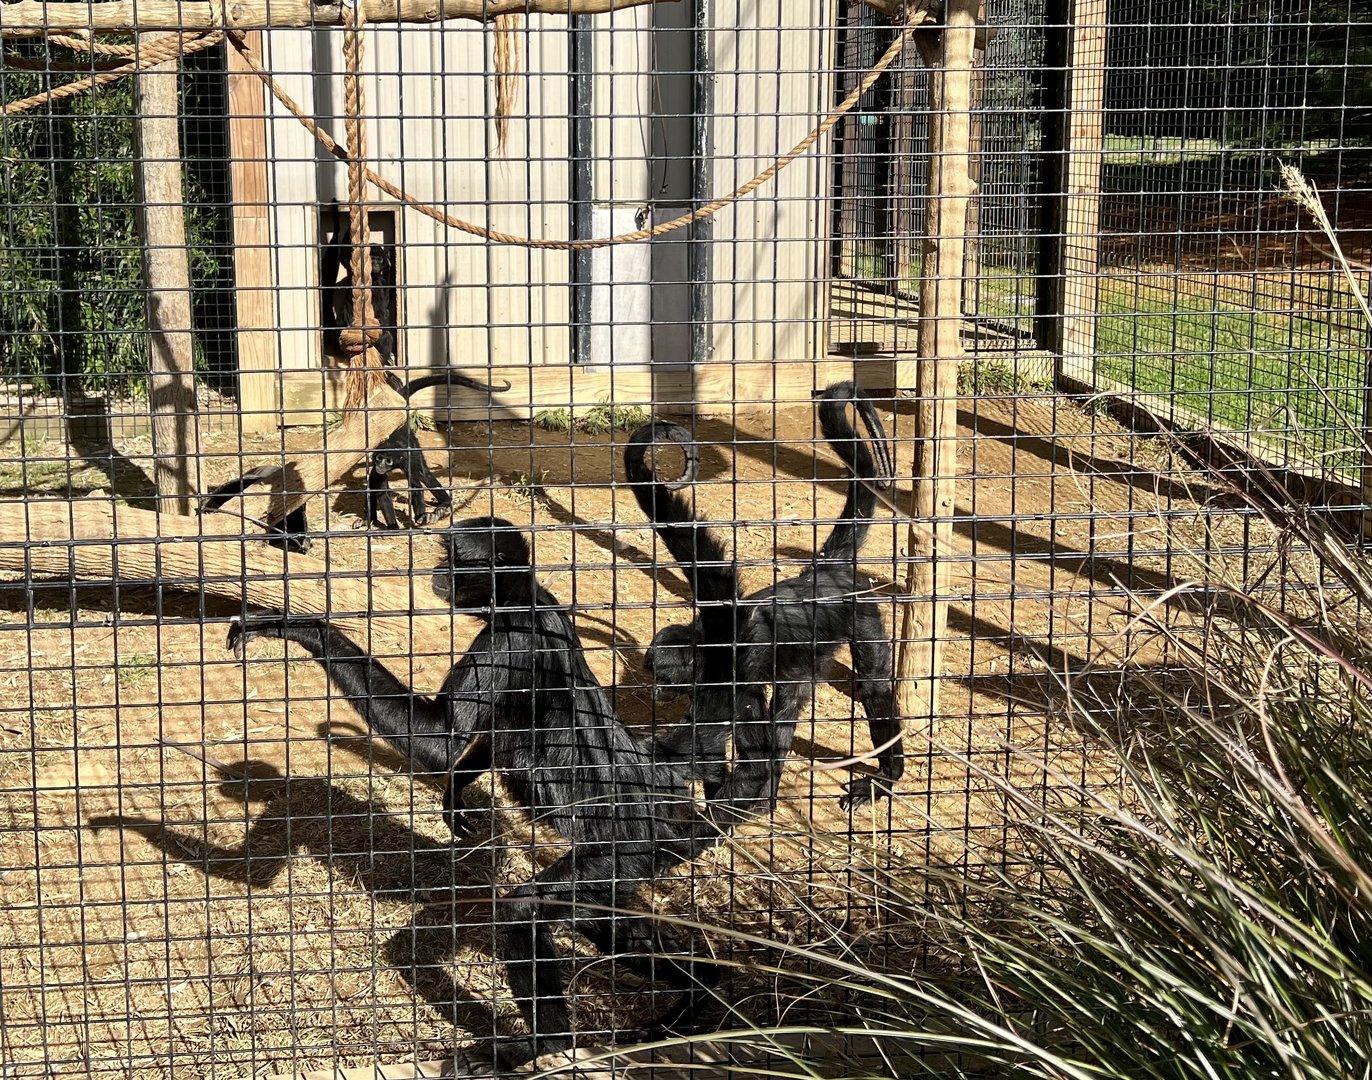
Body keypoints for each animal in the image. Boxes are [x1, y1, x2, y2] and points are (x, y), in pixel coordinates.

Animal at [227, 517, 725, 1072]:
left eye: (455, 559)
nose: (437, 570)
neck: (526, 600)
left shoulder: (504, 644)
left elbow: (440, 739)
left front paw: (303, 629)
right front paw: (456, 791)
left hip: (627, 844)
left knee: (526, 911)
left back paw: (541, 1045)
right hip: (637, 854)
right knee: (600, 915)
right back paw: (701, 989)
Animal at [624, 381, 902, 820]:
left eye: (661, 677)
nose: (655, 692)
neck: (708, 645)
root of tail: (824, 571)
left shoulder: (732, 664)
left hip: (862, 614)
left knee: (871, 689)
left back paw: (886, 778)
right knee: (790, 701)